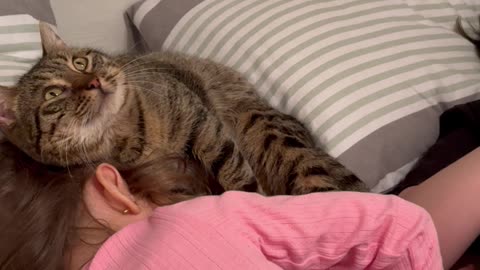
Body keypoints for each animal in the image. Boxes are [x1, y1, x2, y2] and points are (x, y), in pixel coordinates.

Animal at [0, 22, 366, 194]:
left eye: (81, 63)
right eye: (52, 94)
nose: (93, 82)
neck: (127, 132)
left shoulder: (203, 122)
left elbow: (233, 168)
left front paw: (249, 198)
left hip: (270, 134)